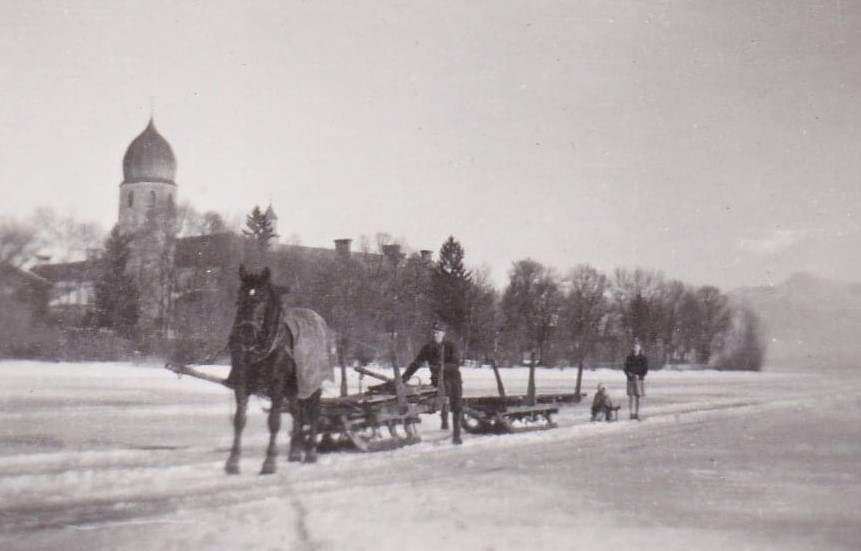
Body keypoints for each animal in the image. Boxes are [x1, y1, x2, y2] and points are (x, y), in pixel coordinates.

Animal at [225, 264, 332, 474]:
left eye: (261, 298)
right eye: (239, 298)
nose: (246, 333)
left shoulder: (276, 386)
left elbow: (274, 421)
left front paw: (269, 463)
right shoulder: (242, 384)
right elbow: (239, 420)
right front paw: (233, 462)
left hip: (312, 385)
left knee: (313, 415)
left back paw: (310, 453)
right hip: (292, 389)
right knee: (298, 413)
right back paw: (295, 452)